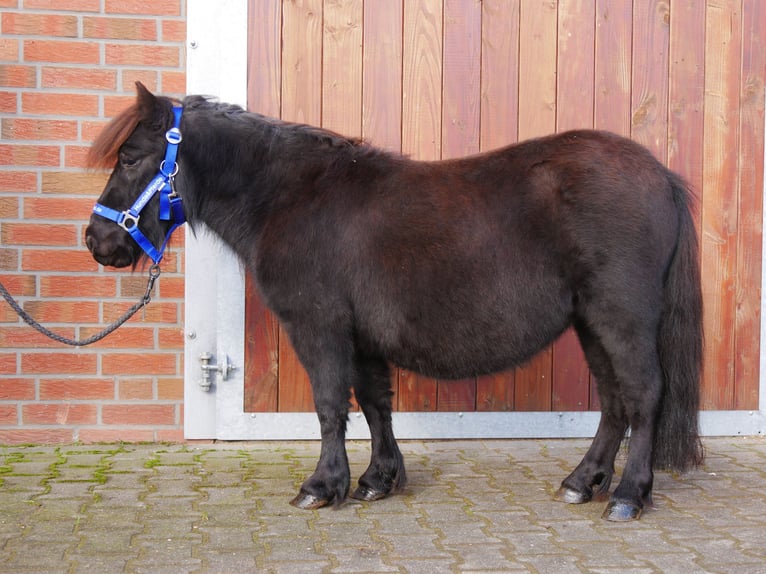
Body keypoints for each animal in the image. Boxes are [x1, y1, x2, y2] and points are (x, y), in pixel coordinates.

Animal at [87, 84, 704, 520]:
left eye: (132, 158)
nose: (97, 241)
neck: (290, 196)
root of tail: (661, 175)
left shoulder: (319, 327)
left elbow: (330, 405)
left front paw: (321, 486)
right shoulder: (360, 337)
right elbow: (374, 403)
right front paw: (377, 480)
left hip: (620, 318)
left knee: (643, 396)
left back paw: (628, 496)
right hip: (590, 322)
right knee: (615, 402)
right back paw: (581, 483)